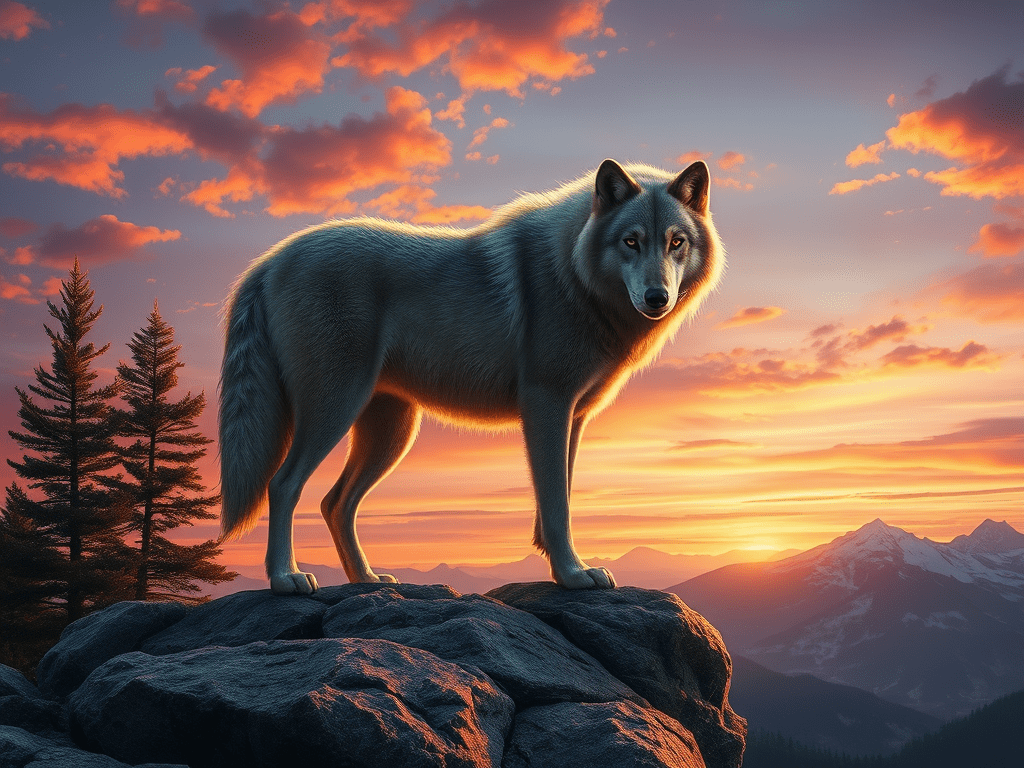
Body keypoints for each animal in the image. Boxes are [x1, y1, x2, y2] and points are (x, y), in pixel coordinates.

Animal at [218, 159, 724, 595]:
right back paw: (285, 578)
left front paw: (563, 569)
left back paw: (367, 579)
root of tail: (267, 260)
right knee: (283, 485)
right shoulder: (546, 405)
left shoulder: (574, 417)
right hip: (335, 410)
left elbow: (556, 501)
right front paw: (572, 575)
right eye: (631, 241)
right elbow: (557, 505)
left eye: (676, 242)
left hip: (391, 432)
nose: (657, 297)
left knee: (335, 502)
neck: (572, 274)